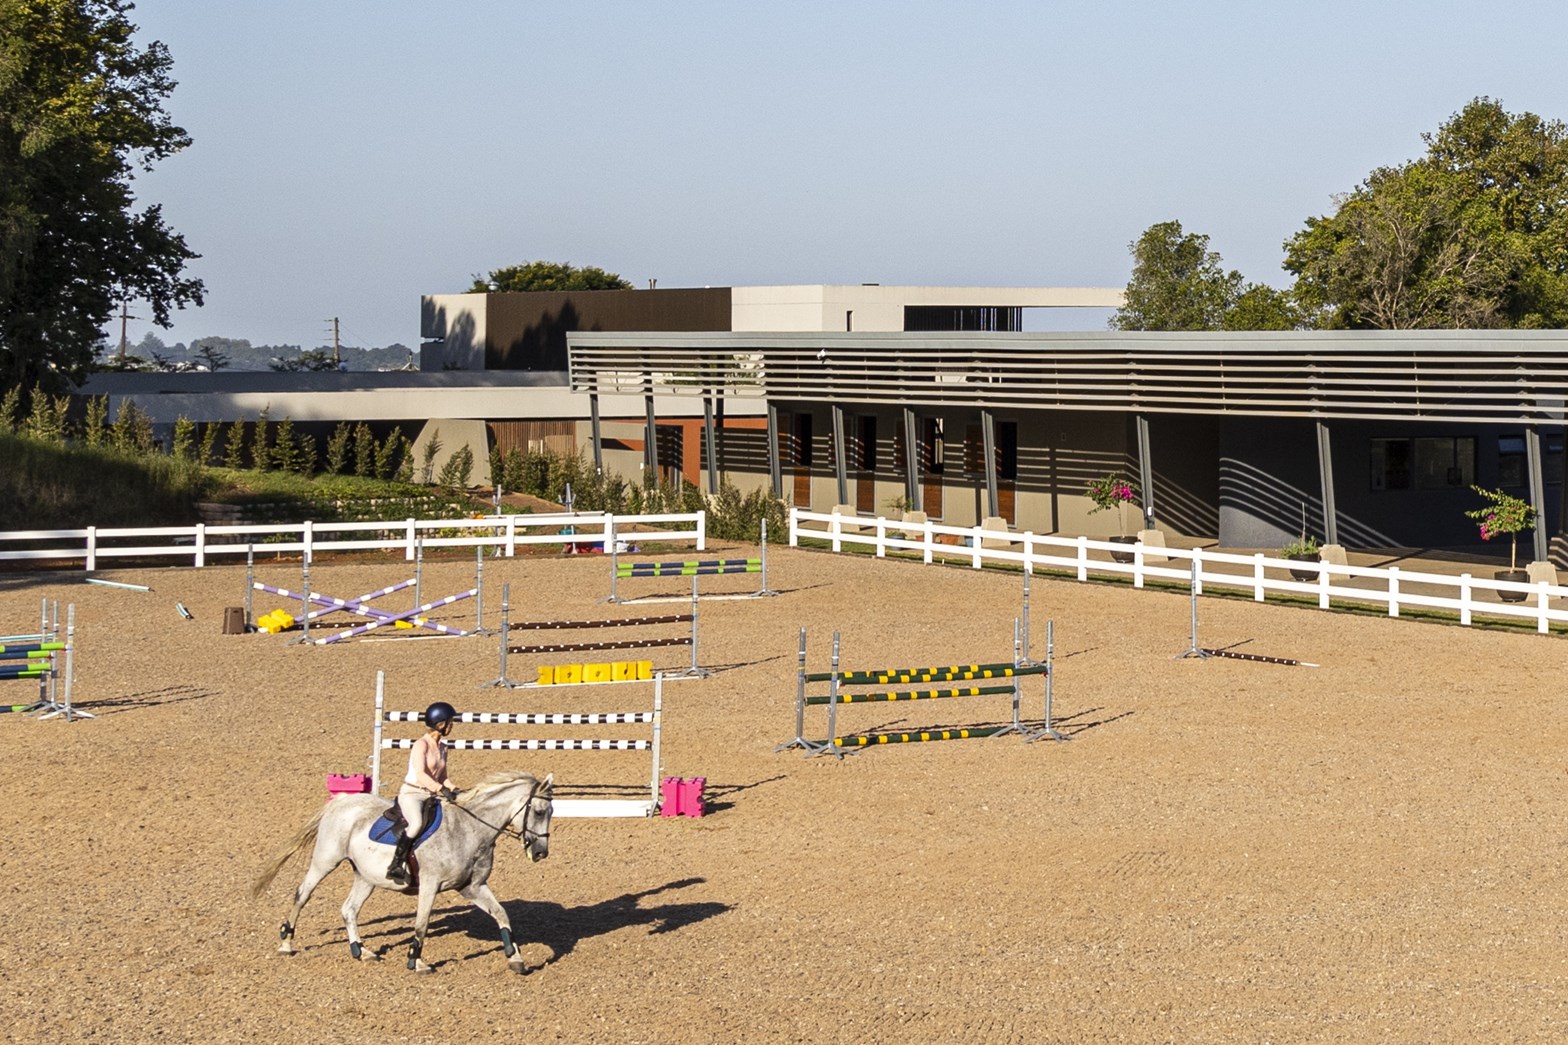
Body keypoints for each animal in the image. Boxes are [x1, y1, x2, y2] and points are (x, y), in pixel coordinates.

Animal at [254, 768, 555, 972]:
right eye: (539, 811)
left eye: (552, 812)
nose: (541, 853)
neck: (469, 829)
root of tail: (340, 802)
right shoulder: (431, 885)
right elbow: (421, 923)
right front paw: (416, 961)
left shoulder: (473, 887)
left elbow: (501, 914)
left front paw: (516, 958)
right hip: (325, 861)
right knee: (302, 894)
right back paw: (286, 943)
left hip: (366, 876)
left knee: (349, 909)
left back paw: (360, 950)